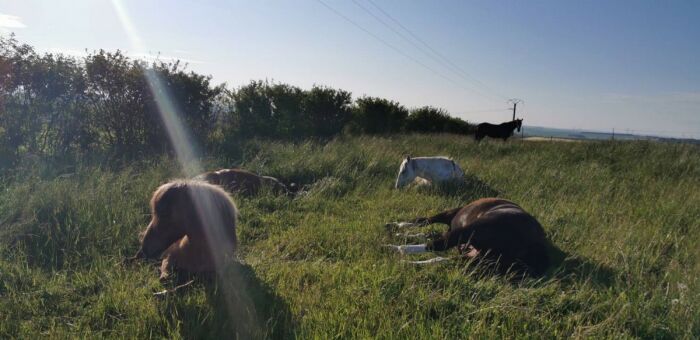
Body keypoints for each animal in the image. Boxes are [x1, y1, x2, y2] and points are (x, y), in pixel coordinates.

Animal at [386, 197, 548, 276]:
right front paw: (399, 230)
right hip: (477, 258)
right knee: (439, 256)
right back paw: (408, 260)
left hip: (466, 232)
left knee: (436, 244)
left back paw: (393, 248)